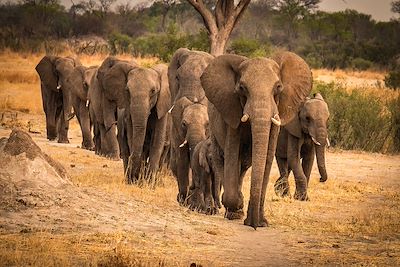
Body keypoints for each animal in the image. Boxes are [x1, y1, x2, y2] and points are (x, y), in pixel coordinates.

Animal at [167, 48, 214, 204]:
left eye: (205, 80)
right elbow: (182, 159)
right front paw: (186, 201)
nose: (193, 101)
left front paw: (199, 206)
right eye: (177, 77)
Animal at [200, 51, 312, 229]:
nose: (252, 225)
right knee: (221, 159)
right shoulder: (232, 111)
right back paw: (234, 210)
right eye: (242, 88)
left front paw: (261, 222)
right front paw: (237, 209)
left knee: (244, 165)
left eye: (278, 87)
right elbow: (232, 153)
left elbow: (267, 157)